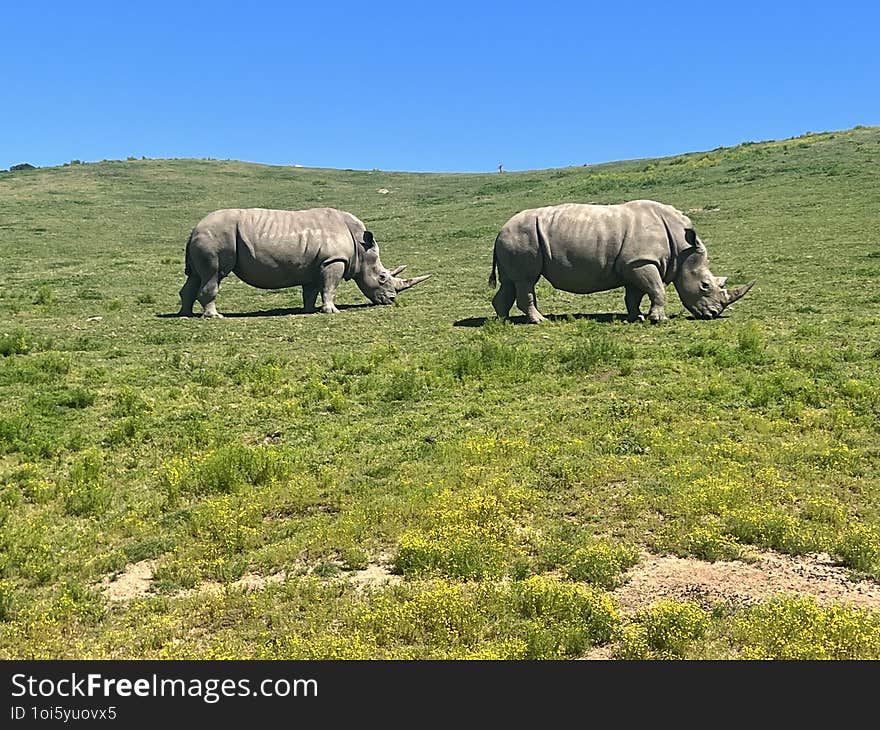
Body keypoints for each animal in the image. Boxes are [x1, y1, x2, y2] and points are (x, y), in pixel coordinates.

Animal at [177, 206, 428, 318]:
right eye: (382, 277)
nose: (391, 300)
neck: (360, 246)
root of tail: (194, 228)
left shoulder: (316, 265)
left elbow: (312, 290)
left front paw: (310, 310)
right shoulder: (333, 261)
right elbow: (330, 288)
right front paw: (332, 311)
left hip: (207, 236)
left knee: (196, 276)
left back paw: (185, 314)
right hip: (216, 237)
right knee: (214, 274)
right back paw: (215, 316)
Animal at [488, 200, 756, 322]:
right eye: (705, 286)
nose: (712, 314)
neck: (683, 249)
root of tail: (500, 230)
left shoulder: (633, 264)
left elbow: (635, 295)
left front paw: (637, 317)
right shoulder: (642, 262)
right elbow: (657, 290)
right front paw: (658, 320)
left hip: (515, 238)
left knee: (511, 282)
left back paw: (503, 321)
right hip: (522, 236)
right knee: (526, 280)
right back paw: (539, 321)